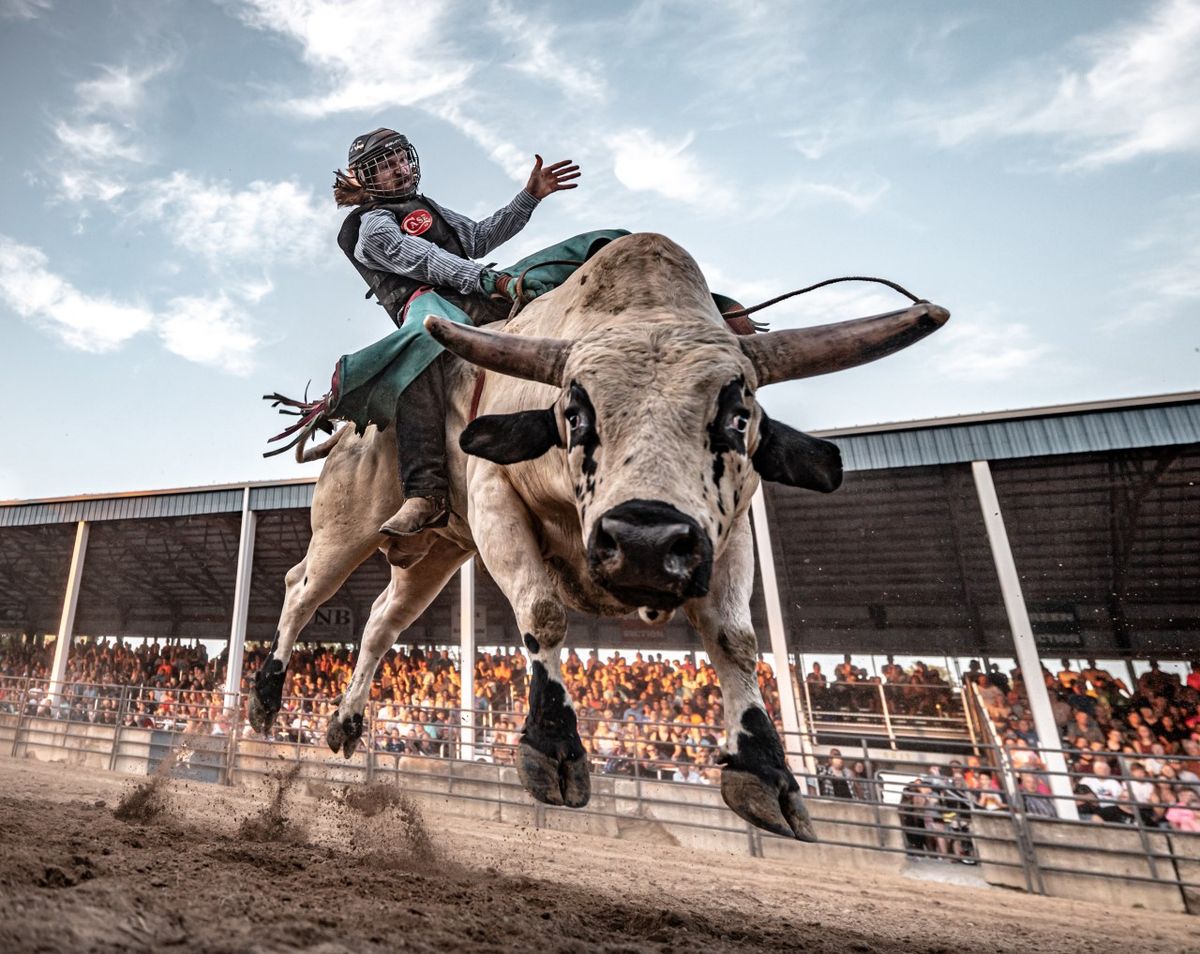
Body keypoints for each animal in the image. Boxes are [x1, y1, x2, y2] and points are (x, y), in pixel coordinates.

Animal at [250, 232, 945, 844]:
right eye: (575, 412)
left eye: (738, 416)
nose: (644, 542)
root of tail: (344, 429)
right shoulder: (497, 496)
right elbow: (542, 612)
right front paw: (554, 748)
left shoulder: (728, 531)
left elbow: (736, 639)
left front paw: (766, 773)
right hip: (347, 526)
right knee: (303, 590)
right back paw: (264, 697)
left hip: (437, 552)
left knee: (380, 620)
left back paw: (345, 723)